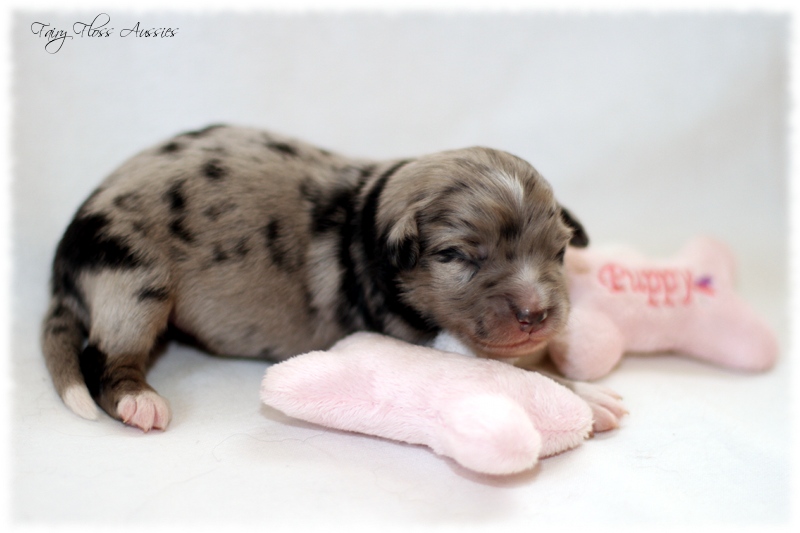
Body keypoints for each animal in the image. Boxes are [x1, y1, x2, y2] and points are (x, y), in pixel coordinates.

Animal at [43, 125, 592, 432]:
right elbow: (500, 368)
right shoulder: (408, 335)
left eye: (560, 251)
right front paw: (583, 394)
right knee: (103, 359)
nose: (536, 314)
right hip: (136, 282)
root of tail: (64, 256)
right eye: (456, 256)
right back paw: (139, 402)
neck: (370, 212)